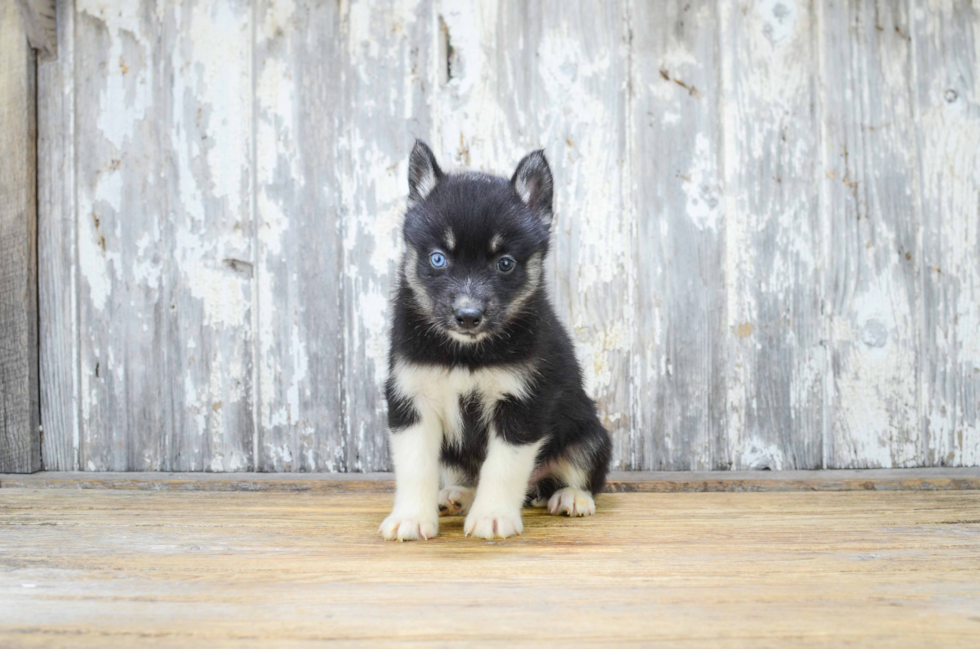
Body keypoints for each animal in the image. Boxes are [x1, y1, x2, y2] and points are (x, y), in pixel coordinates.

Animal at [378, 142, 608, 540]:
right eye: (438, 259)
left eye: (505, 263)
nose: (468, 316)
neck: (467, 354)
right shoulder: (411, 400)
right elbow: (415, 466)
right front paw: (411, 518)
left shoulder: (522, 404)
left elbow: (502, 468)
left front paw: (493, 517)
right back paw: (457, 496)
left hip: (591, 434)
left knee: (578, 472)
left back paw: (572, 497)